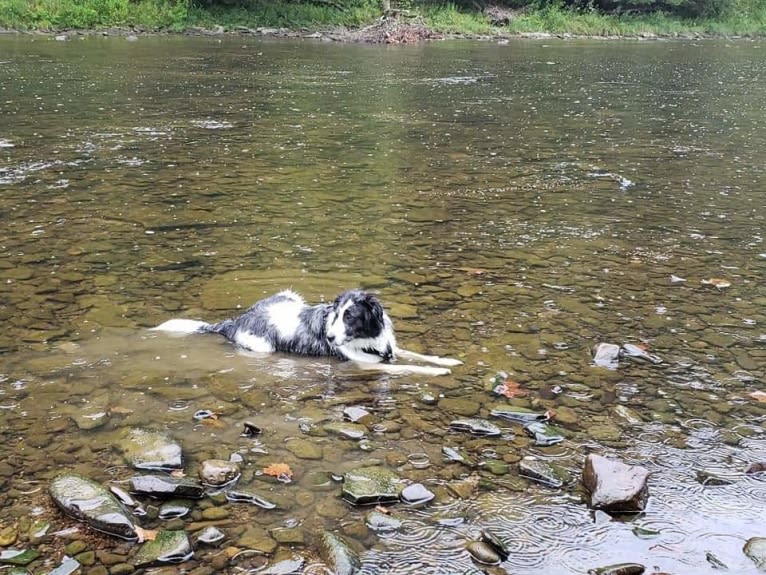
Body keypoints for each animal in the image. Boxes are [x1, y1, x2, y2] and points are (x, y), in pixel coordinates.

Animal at [151, 288, 462, 378]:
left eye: (350, 316)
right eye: (335, 316)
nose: (330, 338)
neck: (366, 340)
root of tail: (236, 320)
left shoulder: (388, 348)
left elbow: (415, 355)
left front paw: (447, 361)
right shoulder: (364, 365)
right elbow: (407, 367)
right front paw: (438, 372)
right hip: (265, 346)